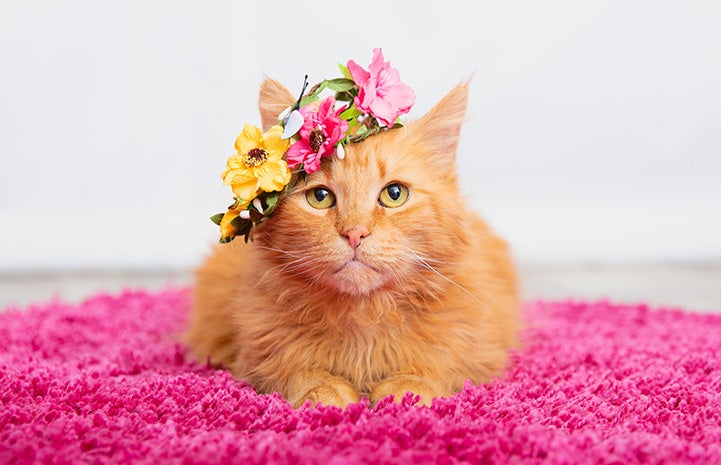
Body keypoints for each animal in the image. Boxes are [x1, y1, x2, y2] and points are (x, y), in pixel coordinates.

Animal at [187, 76, 516, 406]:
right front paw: (325, 391)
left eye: (394, 194)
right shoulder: (258, 354)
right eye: (320, 197)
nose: (355, 233)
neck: (365, 318)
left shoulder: (477, 350)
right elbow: (297, 371)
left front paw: (407, 391)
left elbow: (435, 369)